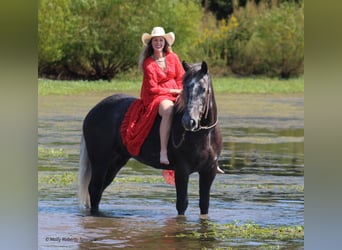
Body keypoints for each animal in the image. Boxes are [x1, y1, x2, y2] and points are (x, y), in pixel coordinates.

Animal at [78, 60, 223, 215]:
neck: (205, 136)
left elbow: (204, 204)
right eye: (185, 88)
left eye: (203, 89)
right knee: (95, 190)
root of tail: (93, 111)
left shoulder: (208, 172)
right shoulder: (182, 171)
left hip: (115, 162)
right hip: (100, 163)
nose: (188, 121)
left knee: (99, 190)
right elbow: (182, 204)